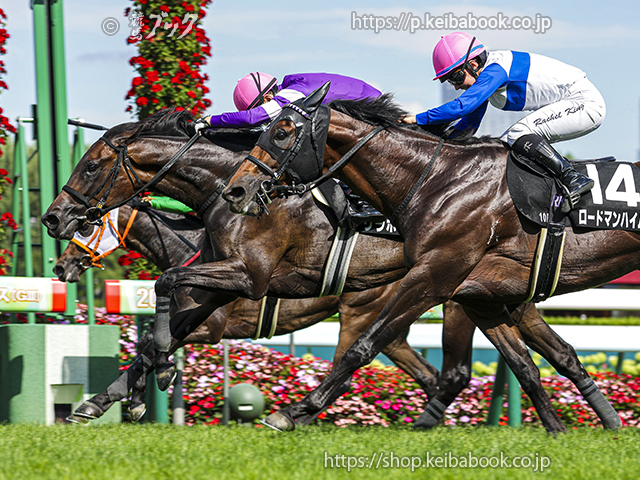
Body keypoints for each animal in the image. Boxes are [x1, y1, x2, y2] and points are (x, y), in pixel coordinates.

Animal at [54, 201, 439, 422]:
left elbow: (151, 345)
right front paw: (119, 400)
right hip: (389, 327)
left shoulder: (208, 326)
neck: (192, 249)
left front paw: (112, 400)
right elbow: (149, 344)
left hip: (358, 314)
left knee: (346, 370)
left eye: (86, 225)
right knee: (427, 373)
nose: (60, 266)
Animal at [221, 87, 626, 434]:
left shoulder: (431, 277)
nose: (235, 190)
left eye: (282, 132)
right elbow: (524, 364)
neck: (438, 179)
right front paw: (558, 429)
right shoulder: (478, 292)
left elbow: (361, 348)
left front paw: (293, 412)